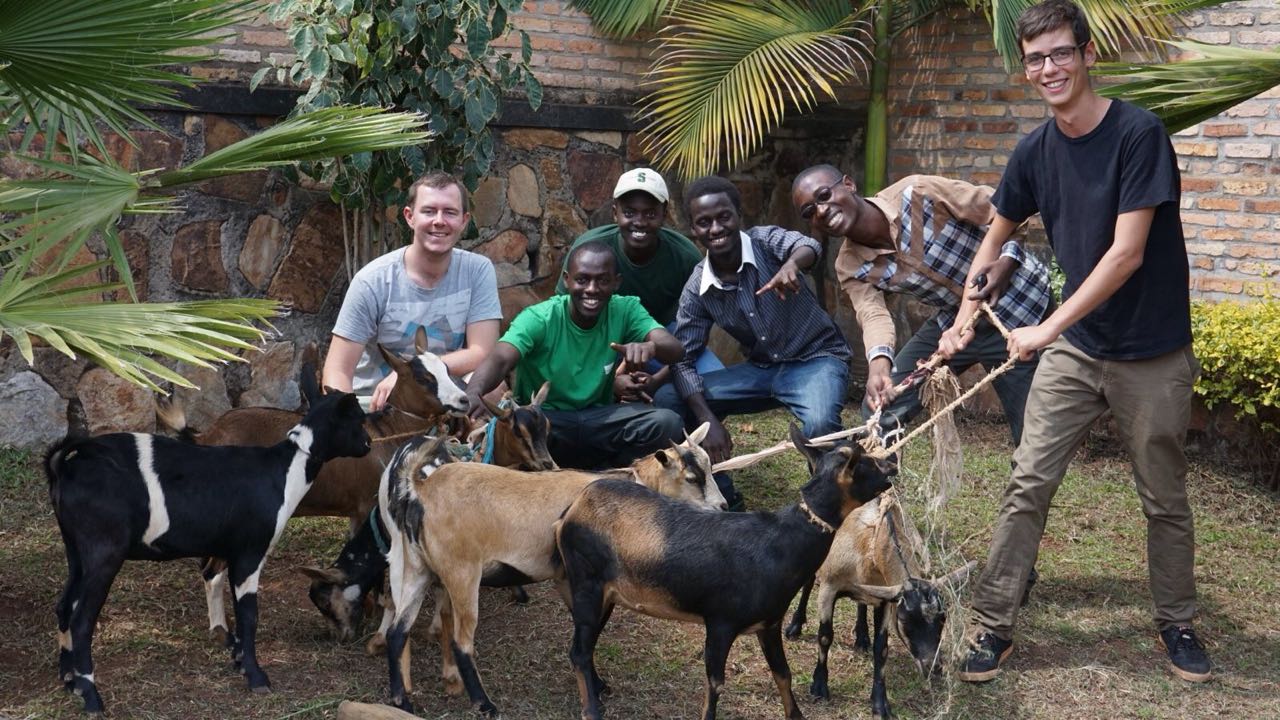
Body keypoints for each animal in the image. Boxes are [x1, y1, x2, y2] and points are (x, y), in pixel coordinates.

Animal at [45, 386, 366, 712]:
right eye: (358, 419)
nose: (367, 444)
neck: (285, 470)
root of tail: (64, 467)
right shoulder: (250, 552)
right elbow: (249, 614)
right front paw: (256, 677)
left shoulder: (230, 550)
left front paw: (239, 660)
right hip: (104, 552)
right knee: (81, 620)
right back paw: (91, 696)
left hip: (76, 550)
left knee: (64, 606)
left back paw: (70, 681)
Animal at [376, 420, 732, 712]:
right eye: (692, 477)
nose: (723, 507)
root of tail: (421, 490)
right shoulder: (591, 579)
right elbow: (591, 630)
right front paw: (596, 688)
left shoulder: (564, 577)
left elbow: (585, 629)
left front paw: (597, 684)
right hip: (461, 573)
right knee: (460, 641)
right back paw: (484, 704)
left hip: (418, 568)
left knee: (398, 632)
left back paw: (401, 700)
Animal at [555, 422, 896, 717]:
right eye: (863, 464)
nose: (891, 467)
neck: (782, 543)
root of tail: (570, 512)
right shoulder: (720, 622)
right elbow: (715, 684)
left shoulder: (769, 623)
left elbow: (782, 674)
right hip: (587, 583)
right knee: (579, 652)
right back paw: (591, 710)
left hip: (605, 594)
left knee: (586, 644)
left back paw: (599, 689)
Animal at [783, 484, 972, 712]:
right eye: (905, 620)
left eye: (943, 618)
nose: (934, 667)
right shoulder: (829, 587)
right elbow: (825, 636)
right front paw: (819, 686)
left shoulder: (885, 600)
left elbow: (881, 648)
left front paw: (880, 703)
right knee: (809, 583)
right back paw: (795, 626)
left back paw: (862, 636)